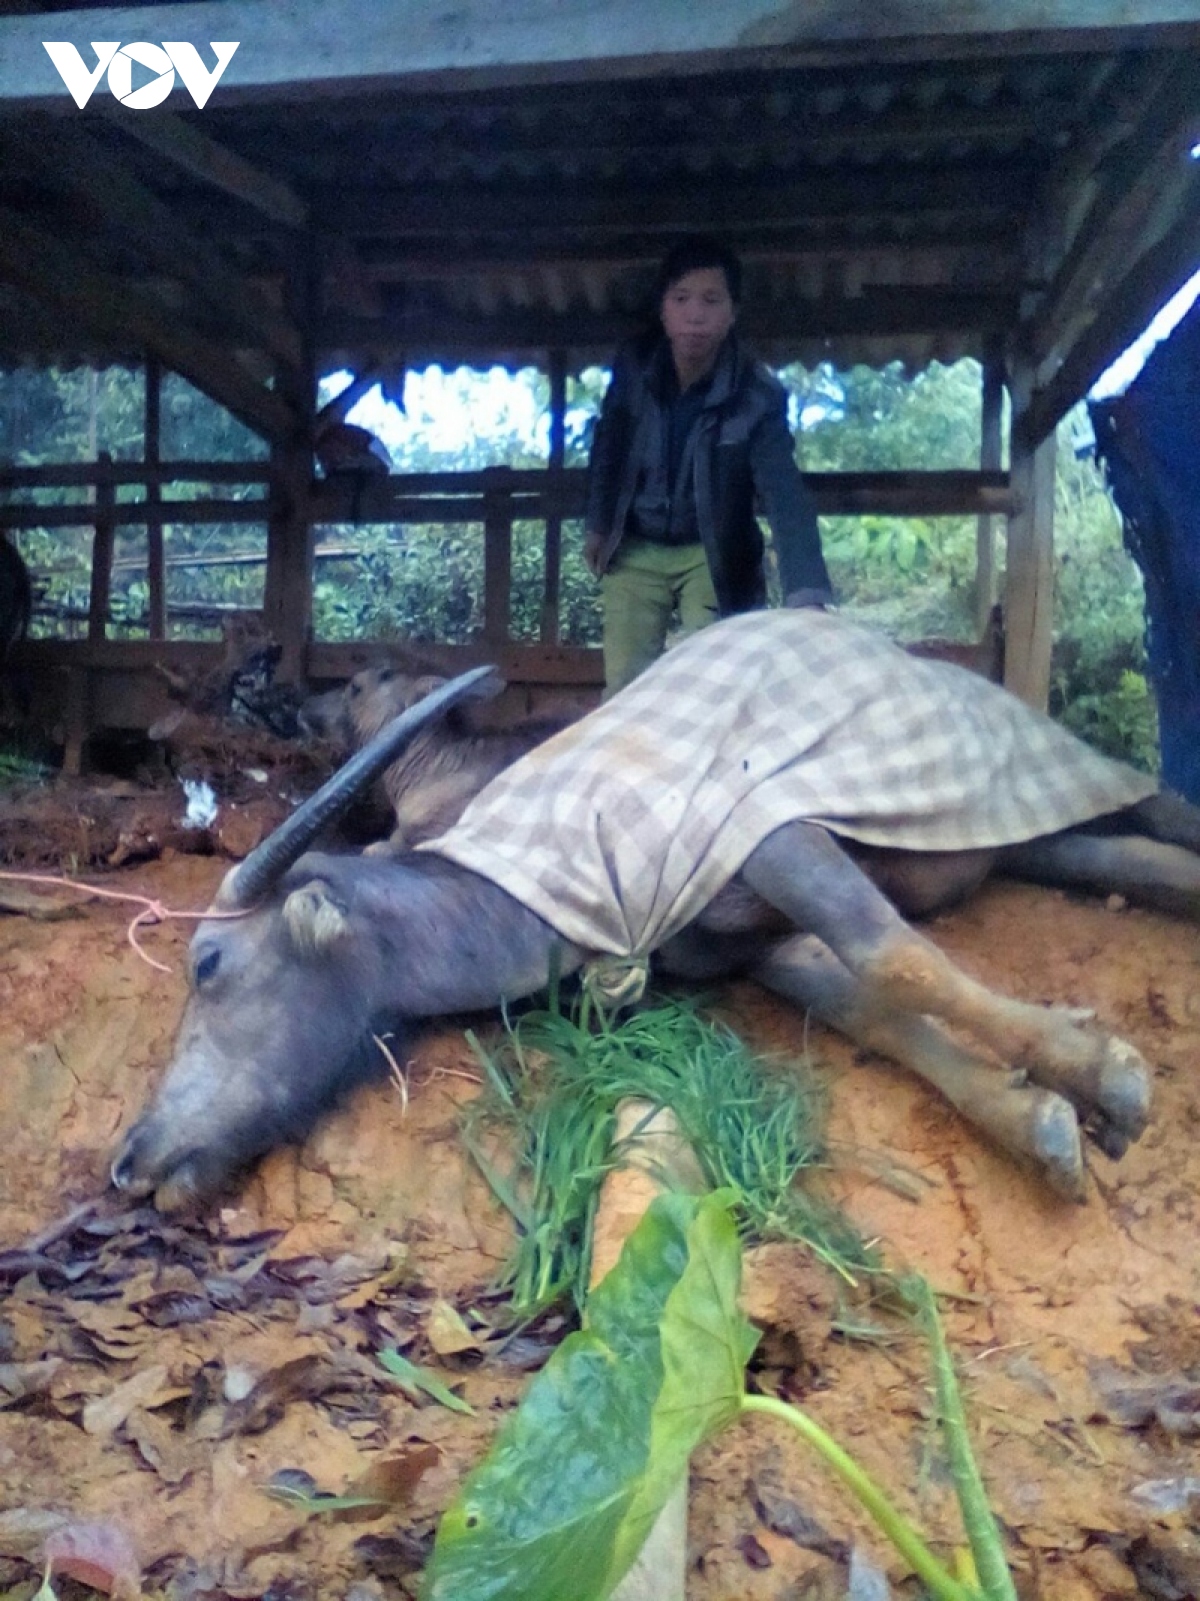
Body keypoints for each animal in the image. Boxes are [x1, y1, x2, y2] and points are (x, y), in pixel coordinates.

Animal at [115, 611, 1200, 1210]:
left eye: (209, 964)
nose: (132, 1158)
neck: (538, 867)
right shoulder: (753, 949)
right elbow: (875, 1012)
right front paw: (1038, 1117)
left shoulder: (775, 835)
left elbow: (895, 958)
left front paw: (1107, 1074)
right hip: (1027, 837)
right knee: (1141, 860)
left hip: (1069, 780)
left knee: (1160, 811)